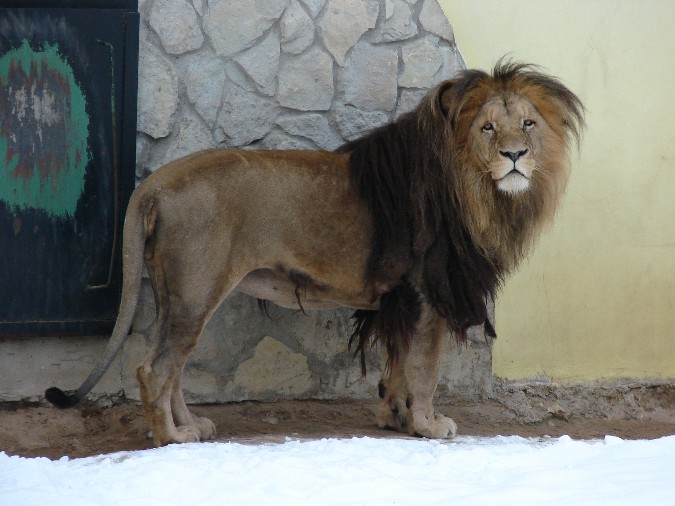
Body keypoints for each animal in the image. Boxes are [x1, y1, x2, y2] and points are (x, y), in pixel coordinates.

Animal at [46, 62, 584, 446]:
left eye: (528, 124)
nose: (515, 156)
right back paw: (170, 438)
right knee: (155, 369)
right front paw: (429, 425)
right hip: (195, 293)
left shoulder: (399, 299)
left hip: (176, 297)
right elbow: (425, 369)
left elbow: (398, 365)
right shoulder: (427, 292)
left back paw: (191, 427)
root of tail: (154, 182)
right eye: (488, 129)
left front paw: (396, 418)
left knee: (171, 366)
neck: (480, 193)